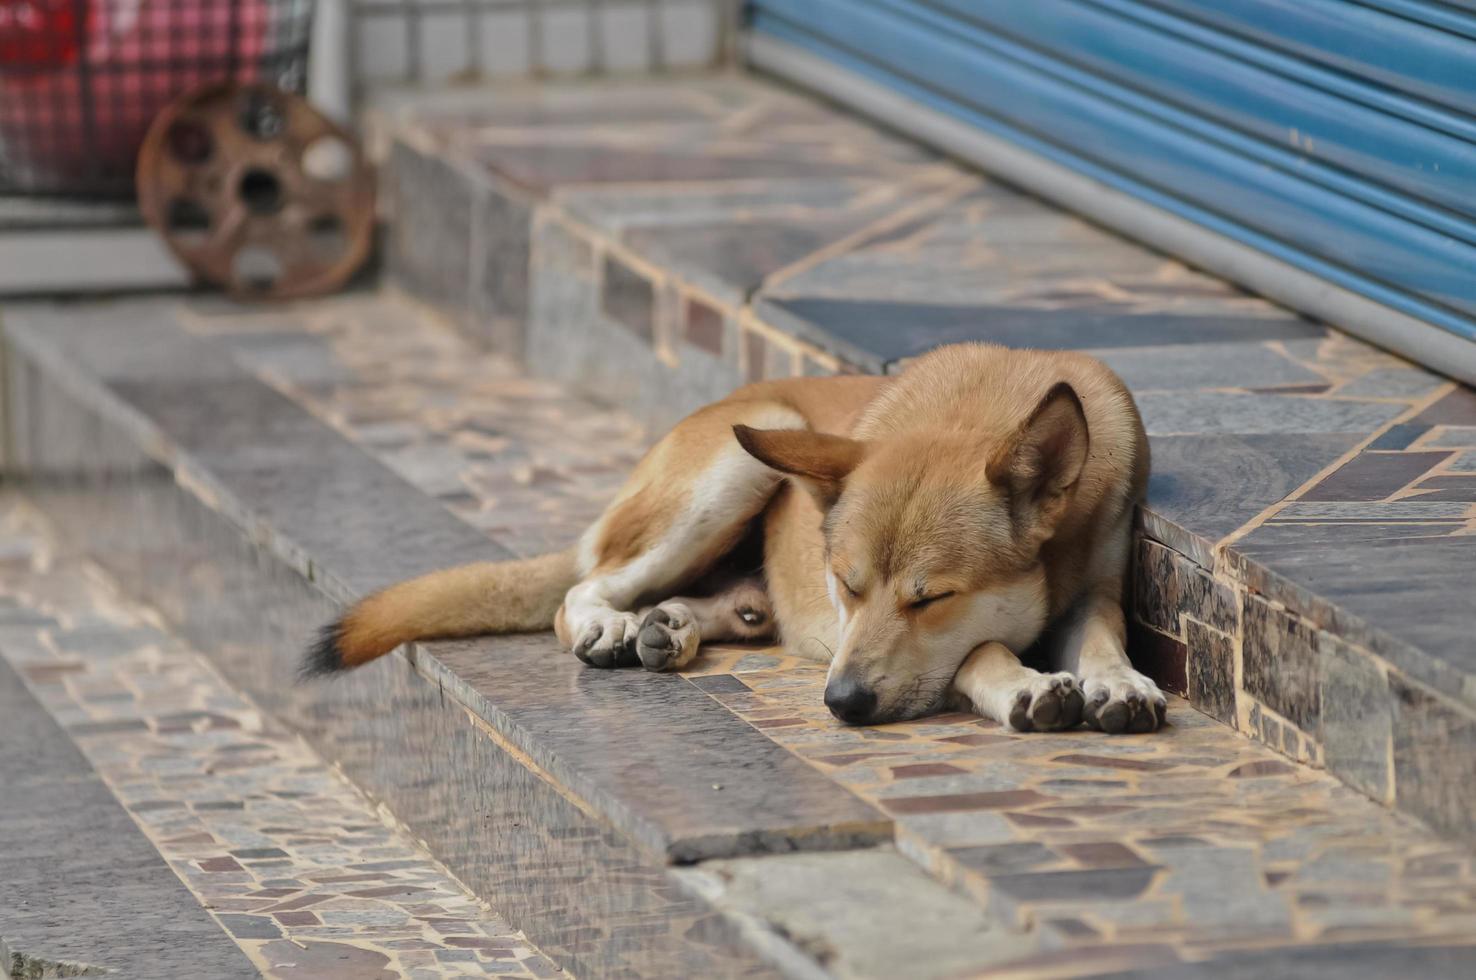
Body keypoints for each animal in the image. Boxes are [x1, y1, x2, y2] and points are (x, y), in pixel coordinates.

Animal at [308, 343, 1163, 735]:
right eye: (844, 584)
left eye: (934, 598)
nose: (841, 703)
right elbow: (981, 650)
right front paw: (1024, 685)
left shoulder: (1095, 584)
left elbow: (1102, 633)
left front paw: (1117, 682)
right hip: (743, 457)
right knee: (582, 587)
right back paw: (613, 627)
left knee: (725, 606)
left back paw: (671, 627)